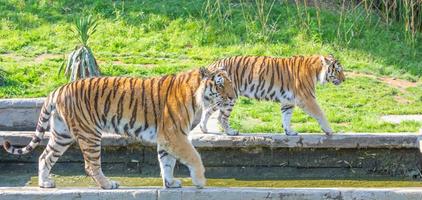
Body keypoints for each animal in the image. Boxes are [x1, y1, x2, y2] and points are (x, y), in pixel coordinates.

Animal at [3, 67, 236, 189]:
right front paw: (200, 181)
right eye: (220, 84)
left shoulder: (166, 138)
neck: (197, 96)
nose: (233, 97)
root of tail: (59, 88)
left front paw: (170, 183)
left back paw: (45, 183)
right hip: (90, 134)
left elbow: (166, 162)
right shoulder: (175, 135)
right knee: (91, 165)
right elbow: (194, 157)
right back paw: (108, 185)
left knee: (45, 156)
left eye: (232, 83)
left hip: (62, 134)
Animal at [201, 54, 346, 136]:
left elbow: (286, 117)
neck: (316, 71)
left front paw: (289, 132)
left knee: (208, 111)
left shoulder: (288, 101)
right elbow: (320, 114)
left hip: (220, 98)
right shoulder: (307, 98)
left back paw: (204, 129)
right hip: (230, 97)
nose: (344, 79)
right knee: (221, 117)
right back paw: (231, 132)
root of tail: (214, 64)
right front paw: (329, 131)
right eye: (338, 70)